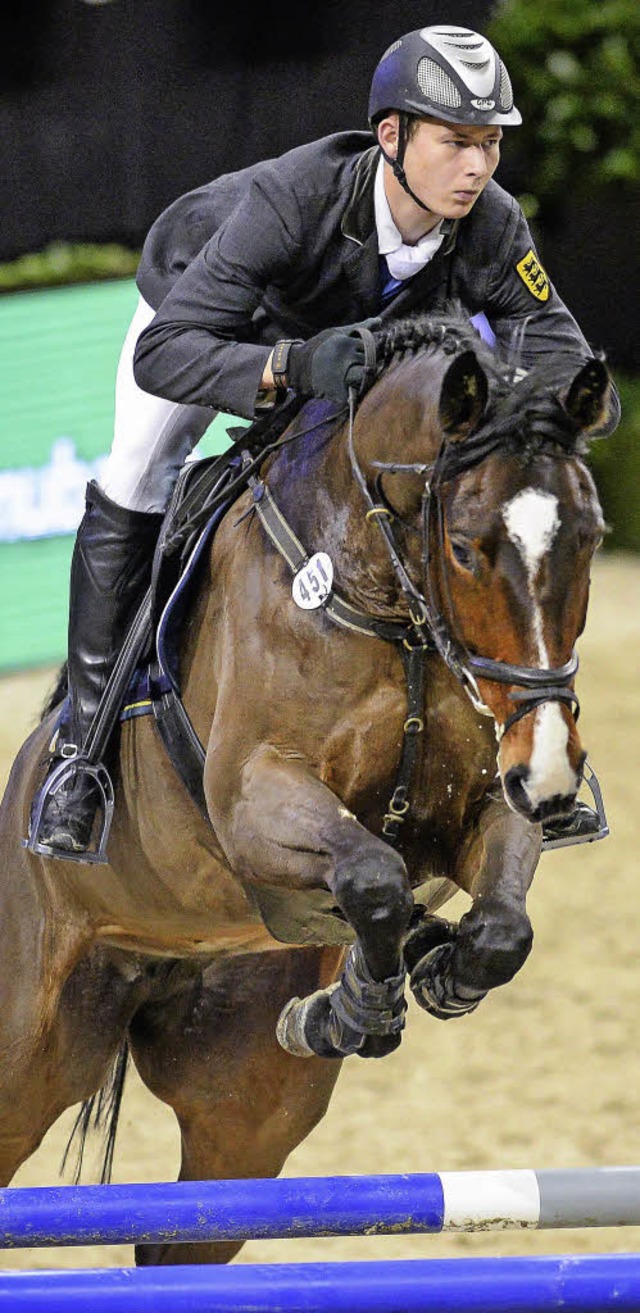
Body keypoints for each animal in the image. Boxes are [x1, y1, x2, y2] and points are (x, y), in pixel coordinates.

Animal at [0, 307, 612, 1260]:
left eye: (592, 537)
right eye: (465, 548)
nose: (549, 771)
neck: (387, 603)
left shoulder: (488, 799)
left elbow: (497, 926)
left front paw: (421, 975)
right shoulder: (253, 797)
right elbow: (372, 875)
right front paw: (361, 1003)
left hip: (242, 1116)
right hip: (28, 1054)